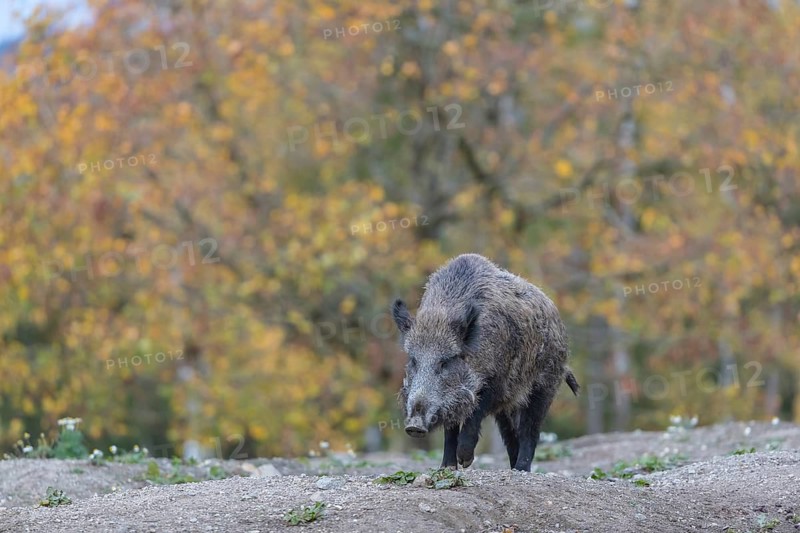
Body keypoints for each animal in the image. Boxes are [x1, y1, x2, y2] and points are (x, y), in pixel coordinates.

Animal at [392, 253, 579, 471]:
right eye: (413, 360)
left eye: (446, 361)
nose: (414, 425)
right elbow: (450, 428)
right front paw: (447, 467)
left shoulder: (496, 382)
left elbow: (474, 414)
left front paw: (465, 461)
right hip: (509, 406)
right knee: (511, 436)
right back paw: (512, 467)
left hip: (545, 386)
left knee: (530, 430)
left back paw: (521, 469)